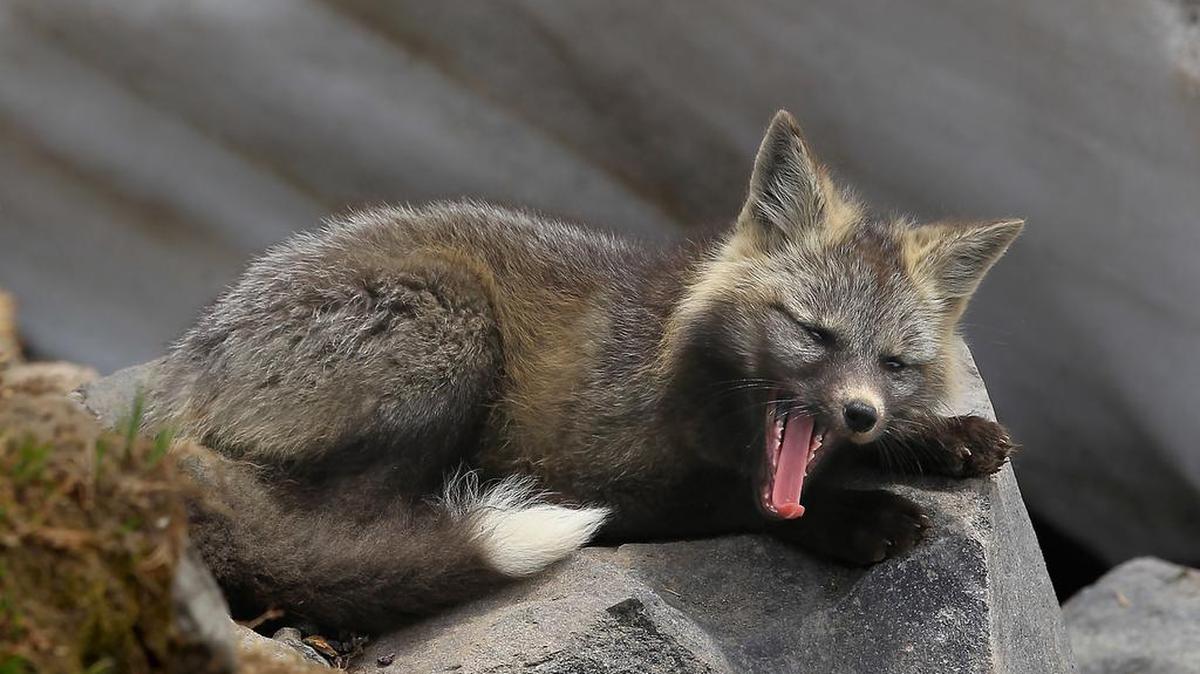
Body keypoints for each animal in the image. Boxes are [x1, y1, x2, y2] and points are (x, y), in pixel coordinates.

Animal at [145, 110, 1022, 633]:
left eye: (895, 364)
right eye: (813, 332)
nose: (860, 413)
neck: (674, 359)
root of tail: (178, 380)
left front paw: (943, 435)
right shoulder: (603, 481)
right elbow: (749, 504)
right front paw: (863, 516)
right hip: (456, 331)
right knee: (339, 527)